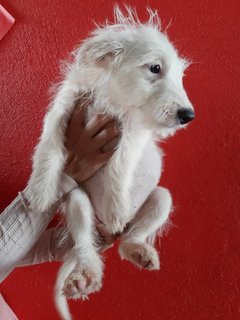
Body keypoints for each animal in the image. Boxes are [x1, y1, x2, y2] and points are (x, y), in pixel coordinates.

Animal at [26, 5, 195, 320]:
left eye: (180, 75)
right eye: (155, 68)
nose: (187, 115)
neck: (114, 100)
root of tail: (106, 233)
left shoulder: (133, 134)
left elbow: (120, 164)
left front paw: (117, 208)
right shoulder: (63, 109)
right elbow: (49, 148)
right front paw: (39, 191)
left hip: (161, 199)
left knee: (129, 241)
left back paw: (136, 247)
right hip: (77, 202)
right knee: (84, 244)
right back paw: (87, 273)